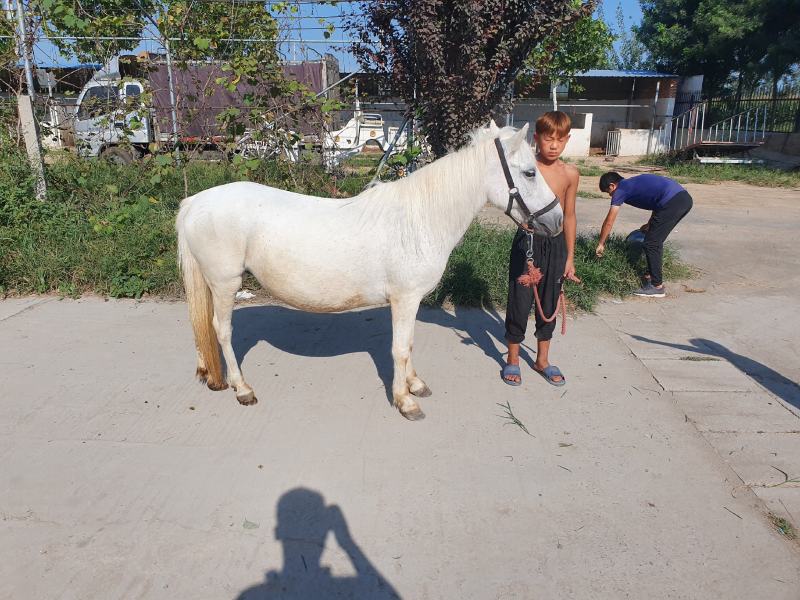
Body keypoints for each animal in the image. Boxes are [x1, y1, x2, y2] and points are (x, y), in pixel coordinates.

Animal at [175, 121, 563, 420]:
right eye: (529, 172)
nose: (557, 221)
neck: (420, 218)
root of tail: (196, 201)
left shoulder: (411, 302)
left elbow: (408, 343)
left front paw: (415, 384)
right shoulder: (405, 299)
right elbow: (400, 348)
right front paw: (405, 400)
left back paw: (210, 374)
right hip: (225, 283)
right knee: (221, 330)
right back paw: (241, 388)